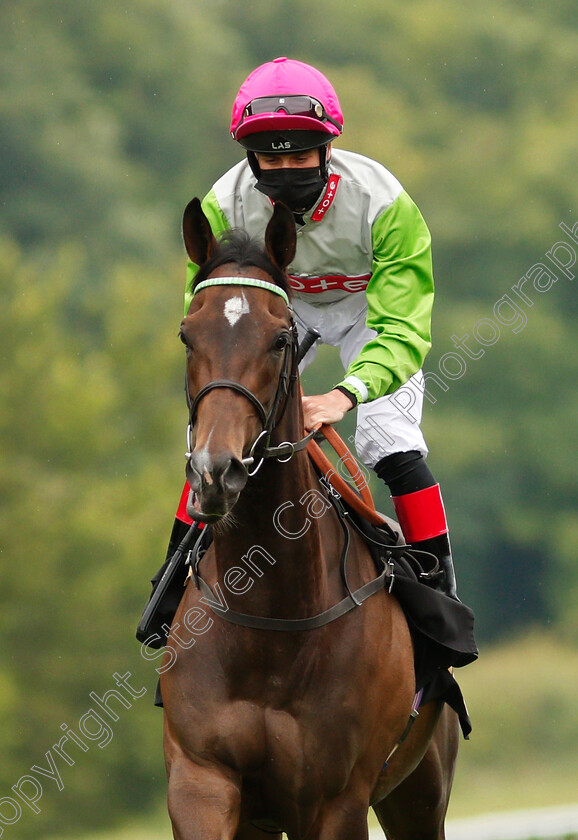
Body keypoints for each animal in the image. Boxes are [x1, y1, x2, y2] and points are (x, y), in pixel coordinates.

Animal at [159, 199, 460, 840]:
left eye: (280, 339)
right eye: (186, 334)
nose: (215, 471)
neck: (273, 620)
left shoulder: (334, 800)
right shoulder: (200, 780)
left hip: (420, 790)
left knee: (396, 448)